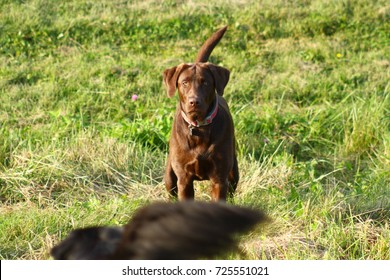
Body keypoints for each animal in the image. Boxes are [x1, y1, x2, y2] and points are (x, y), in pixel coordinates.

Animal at [162, 25, 238, 201]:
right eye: (184, 82)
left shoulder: (219, 179)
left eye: (206, 83)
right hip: (170, 177)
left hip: (233, 172)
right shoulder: (184, 180)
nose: (194, 102)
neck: (199, 128)